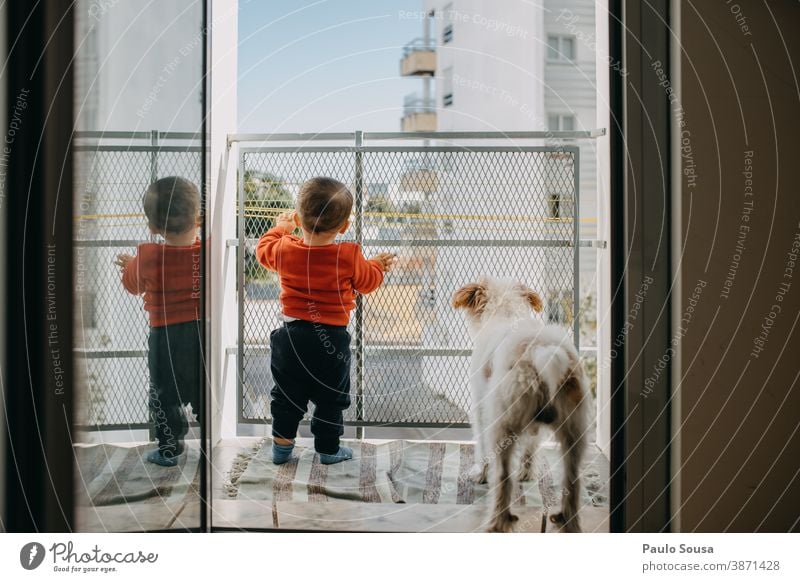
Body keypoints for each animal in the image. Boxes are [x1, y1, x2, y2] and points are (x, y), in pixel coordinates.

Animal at [454, 278, 592, 532]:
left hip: (503, 426)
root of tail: (542, 350)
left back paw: (496, 523)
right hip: (574, 433)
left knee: (503, 480)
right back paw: (568, 521)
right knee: (573, 482)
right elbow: (531, 446)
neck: (506, 313)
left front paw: (480, 475)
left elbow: (482, 449)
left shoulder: (481, 411)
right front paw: (527, 474)